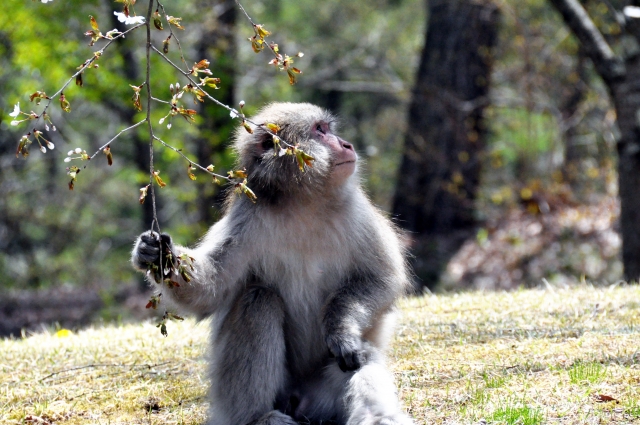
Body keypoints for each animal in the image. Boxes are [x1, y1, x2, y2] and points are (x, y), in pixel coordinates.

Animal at [132, 102, 416, 424]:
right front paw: (158, 256)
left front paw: (341, 329)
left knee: (363, 359)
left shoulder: (357, 211)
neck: (304, 203)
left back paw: (379, 416)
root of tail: (301, 401)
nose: (347, 145)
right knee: (258, 300)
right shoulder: (245, 218)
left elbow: (381, 279)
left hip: (325, 396)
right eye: (320, 130)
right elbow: (210, 289)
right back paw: (257, 417)